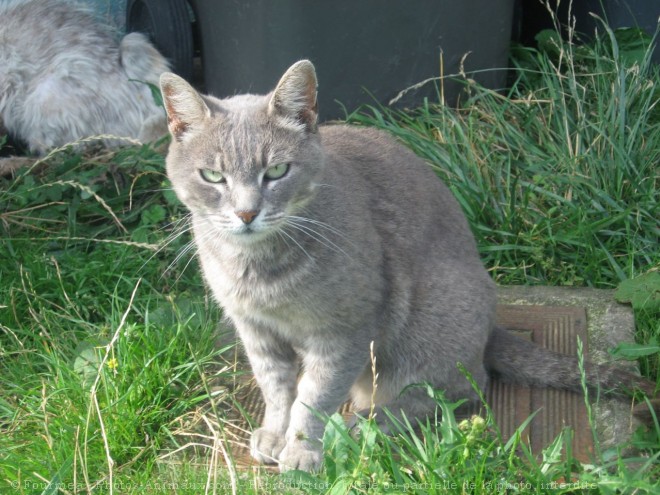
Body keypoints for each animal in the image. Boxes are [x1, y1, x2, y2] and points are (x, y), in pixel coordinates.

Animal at [161, 61, 656, 472]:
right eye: (213, 177)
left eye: (277, 171)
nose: (246, 213)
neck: (260, 270)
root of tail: (490, 328)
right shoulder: (256, 331)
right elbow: (277, 389)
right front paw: (274, 433)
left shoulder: (345, 332)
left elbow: (314, 396)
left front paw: (302, 451)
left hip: (426, 328)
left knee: (459, 390)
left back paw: (368, 421)